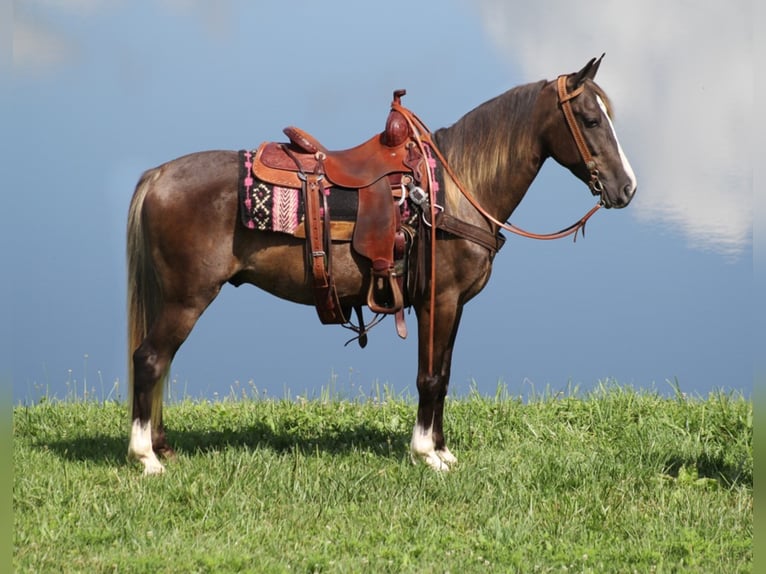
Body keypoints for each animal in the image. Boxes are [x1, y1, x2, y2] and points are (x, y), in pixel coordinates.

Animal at [129, 55, 640, 476]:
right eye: (591, 119)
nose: (627, 188)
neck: (453, 190)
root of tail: (159, 174)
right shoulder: (440, 299)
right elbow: (429, 376)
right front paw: (426, 453)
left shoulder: (453, 305)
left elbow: (444, 375)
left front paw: (443, 448)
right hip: (186, 299)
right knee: (150, 359)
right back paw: (145, 456)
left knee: (162, 362)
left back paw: (162, 446)